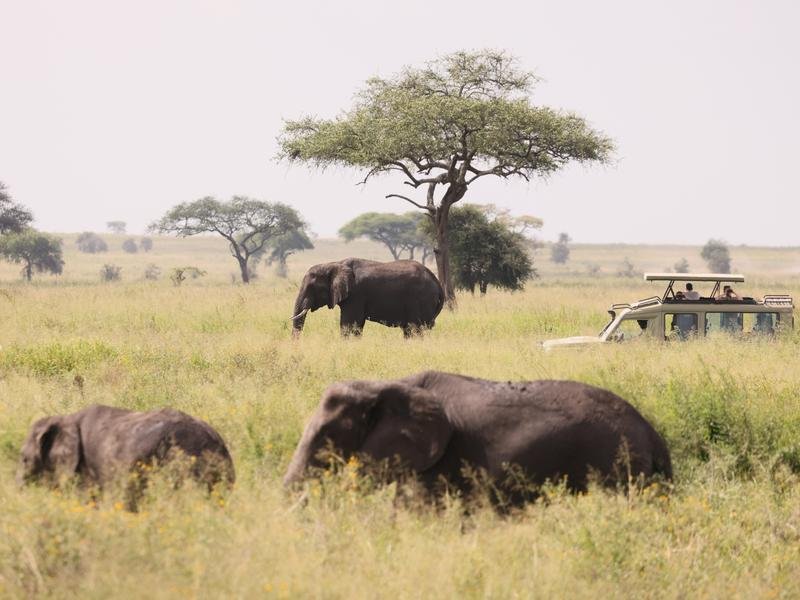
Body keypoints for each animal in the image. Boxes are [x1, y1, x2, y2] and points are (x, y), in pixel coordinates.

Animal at [290, 258, 444, 338]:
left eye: (311, 287)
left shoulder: (356, 295)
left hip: (421, 299)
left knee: (415, 329)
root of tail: (437, 282)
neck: (333, 264)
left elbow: (349, 325)